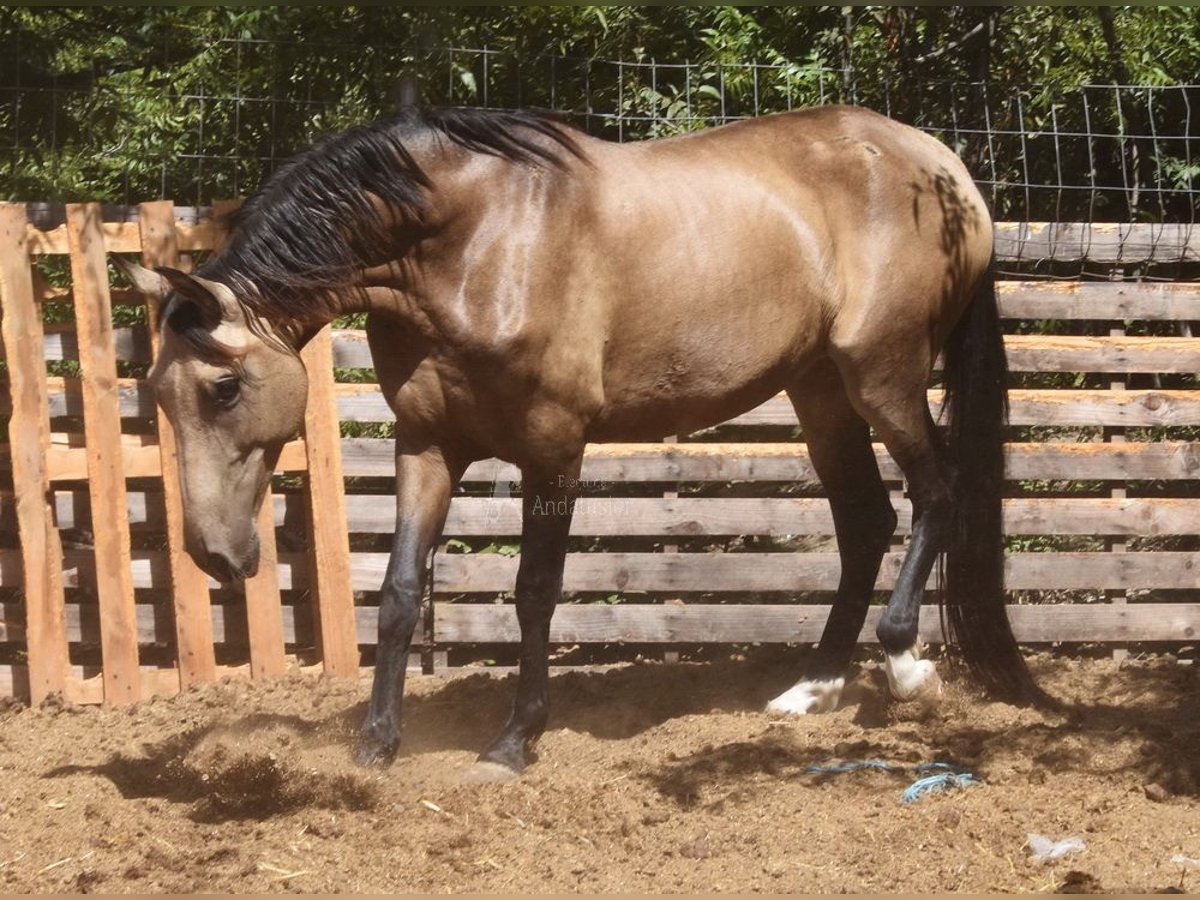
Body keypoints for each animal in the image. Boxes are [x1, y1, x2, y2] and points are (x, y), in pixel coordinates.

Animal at [117, 103, 1046, 782]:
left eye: (223, 388)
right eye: (158, 394)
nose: (214, 554)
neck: (475, 240)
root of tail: (945, 168)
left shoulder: (553, 449)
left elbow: (534, 592)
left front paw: (514, 741)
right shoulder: (426, 445)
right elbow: (401, 593)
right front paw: (378, 741)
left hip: (881, 373)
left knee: (937, 492)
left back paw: (905, 663)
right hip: (819, 393)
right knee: (864, 523)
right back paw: (811, 689)